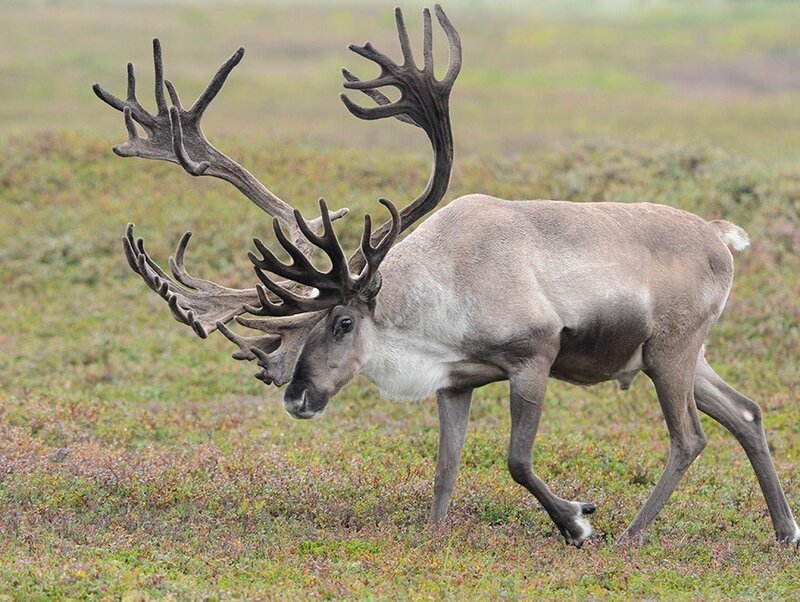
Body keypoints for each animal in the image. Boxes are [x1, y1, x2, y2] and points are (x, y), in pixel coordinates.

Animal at [94, 5, 799, 548]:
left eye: (342, 321)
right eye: (300, 326)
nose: (295, 397)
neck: (434, 302)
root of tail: (721, 235)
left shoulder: (533, 356)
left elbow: (516, 460)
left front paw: (578, 522)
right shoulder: (454, 383)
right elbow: (445, 469)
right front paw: (434, 536)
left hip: (669, 349)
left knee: (690, 437)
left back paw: (630, 535)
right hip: (682, 354)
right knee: (747, 413)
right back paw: (785, 531)